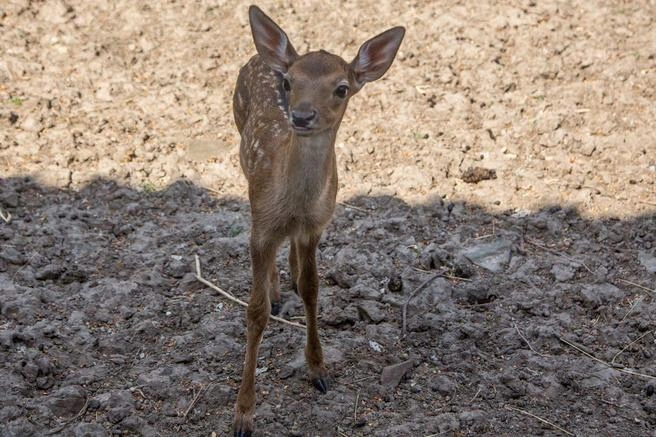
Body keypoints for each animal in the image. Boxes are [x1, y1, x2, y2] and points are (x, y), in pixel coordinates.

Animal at [231, 5, 404, 434]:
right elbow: (254, 311)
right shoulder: (261, 224)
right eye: (289, 82)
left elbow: (312, 290)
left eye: (341, 88)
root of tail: (265, 54)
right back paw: (277, 289)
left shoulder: (316, 226)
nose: (302, 115)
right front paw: (244, 412)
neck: (293, 202)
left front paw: (318, 369)